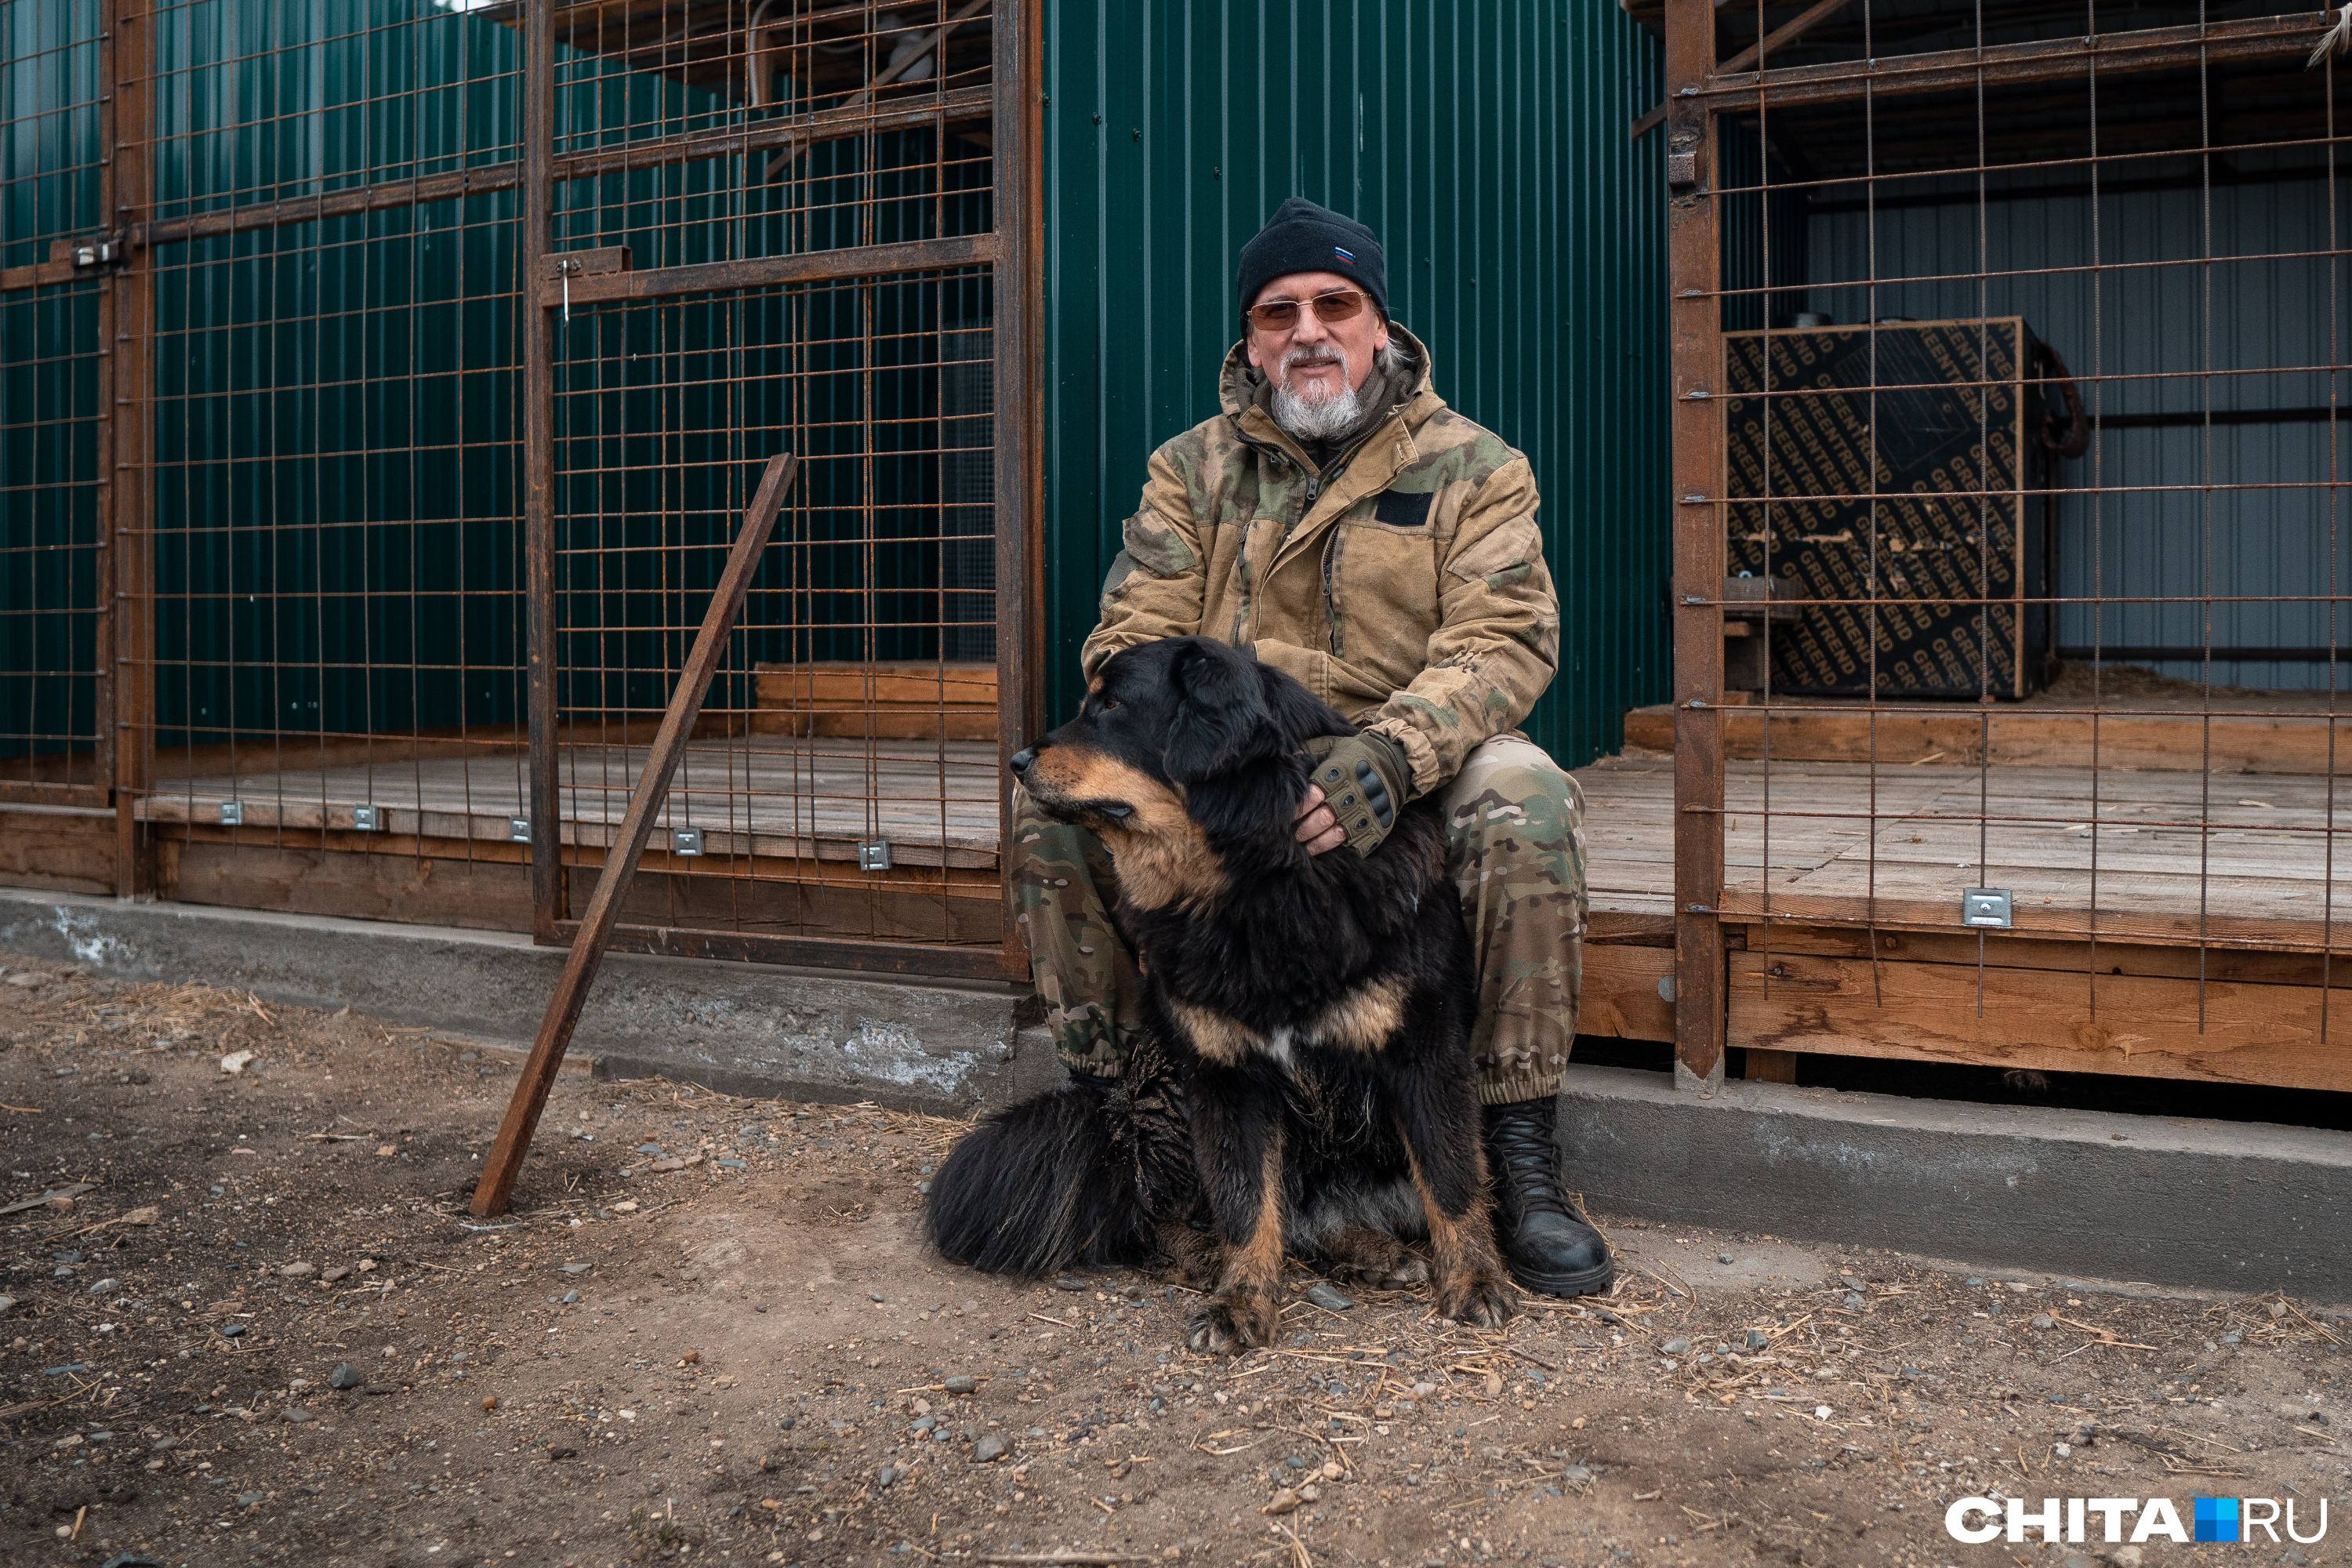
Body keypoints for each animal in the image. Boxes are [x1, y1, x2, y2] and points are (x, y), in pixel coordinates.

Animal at [917, 639, 1505, 1354]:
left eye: (1112, 706)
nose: (1018, 762)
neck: (1256, 883)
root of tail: (1113, 1109)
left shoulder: (1424, 1049)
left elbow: (1450, 1176)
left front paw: (1475, 1278)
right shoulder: (1224, 1071)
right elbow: (1246, 1202)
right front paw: (1241, 1298)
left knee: (1308, 1211)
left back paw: (1372, 1250)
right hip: (1170, 1085)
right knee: (1155, 1219)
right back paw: (1213, 1257)